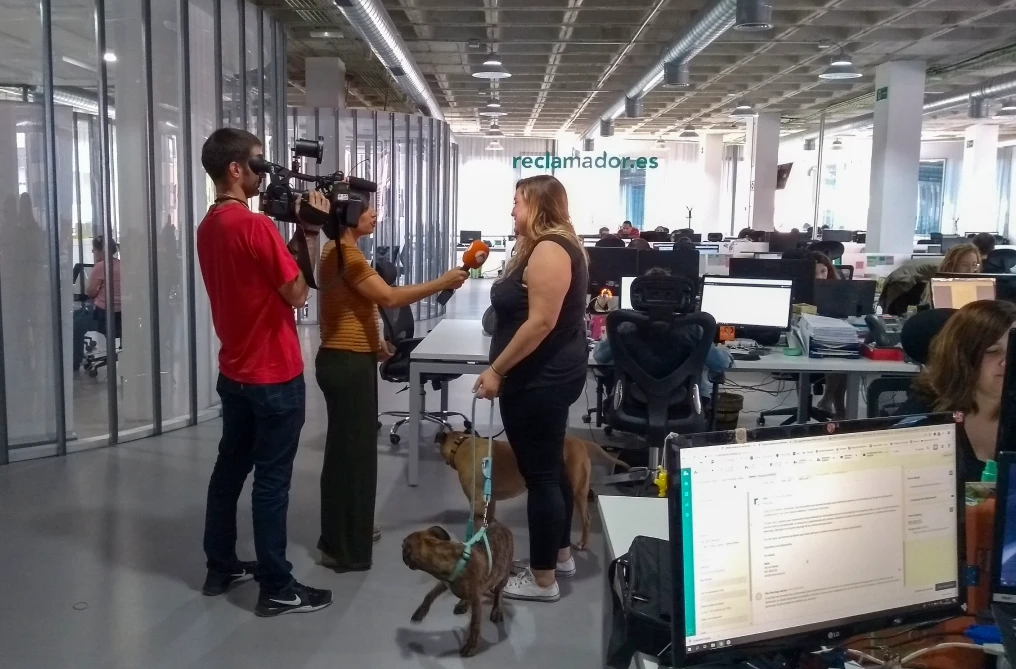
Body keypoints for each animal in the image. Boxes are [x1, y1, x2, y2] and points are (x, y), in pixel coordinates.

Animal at [402, 518, 512, 654]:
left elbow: (475, 625)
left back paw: (497, 609)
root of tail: (500, 524)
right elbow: (429, 595)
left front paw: (471, 645)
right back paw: (463, 603)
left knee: (498, 591)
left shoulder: (476, 602)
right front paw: (420, 613)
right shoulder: (445, 583)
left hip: (503, 574)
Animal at [434, 429, 625, 549]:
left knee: (586, 519)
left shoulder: (478, 503)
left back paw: (583, 543)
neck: (460, 445)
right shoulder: (490, 502)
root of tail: (581, 442)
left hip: (578, 491)